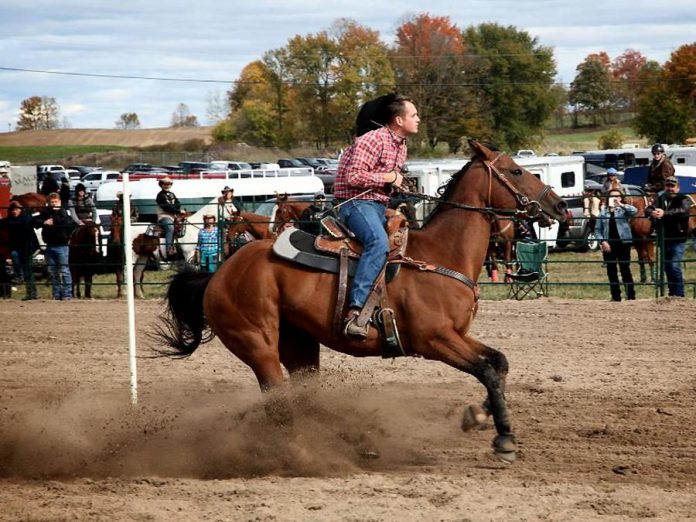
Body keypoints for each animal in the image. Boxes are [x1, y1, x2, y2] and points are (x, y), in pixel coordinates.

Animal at [156, 141, 564, 460]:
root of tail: (217, 275)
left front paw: (479, 417)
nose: (559, 207)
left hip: (300, 344)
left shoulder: (457, 335)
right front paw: (504, 438)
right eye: (516, 170)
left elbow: (498, 363)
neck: (443, 254)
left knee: (303, 397)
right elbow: (487, 370)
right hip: (257, 345)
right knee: (279, 402)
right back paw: (302, 454)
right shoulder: (435, 340)